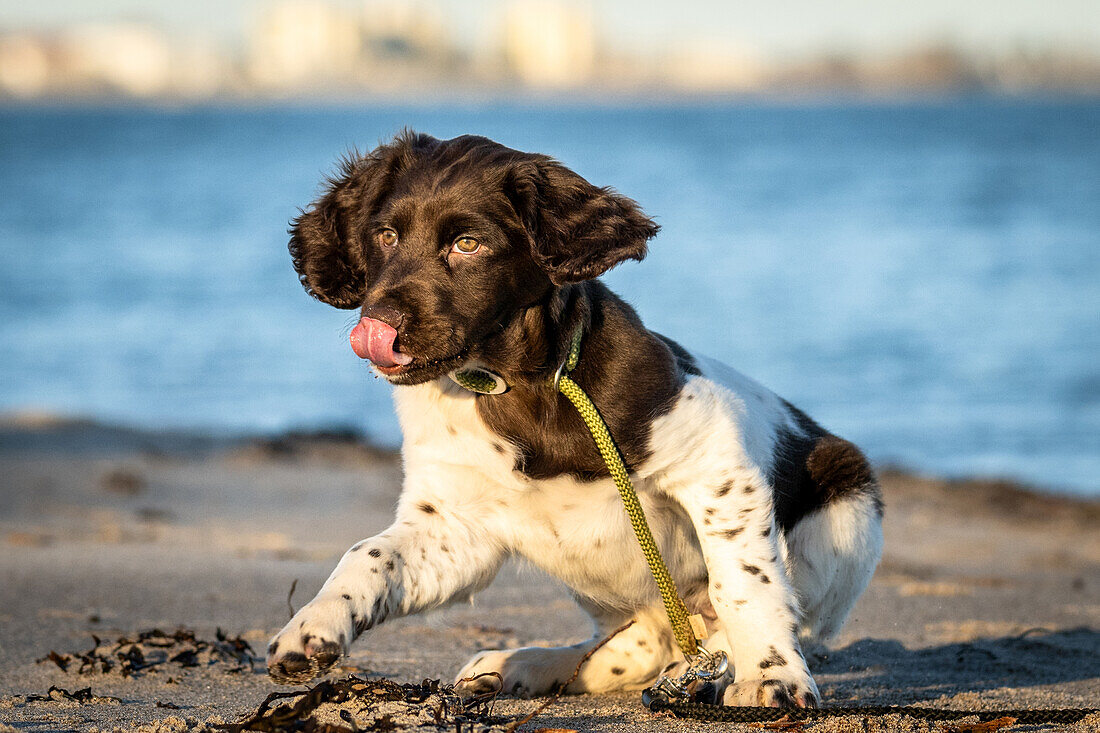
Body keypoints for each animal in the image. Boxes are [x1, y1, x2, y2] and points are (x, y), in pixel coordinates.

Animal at [268, 131, 884, 708]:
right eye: (385, 236)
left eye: (468, 244)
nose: (376, 325)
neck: (514, 383)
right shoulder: (455, 524)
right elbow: (370, 553)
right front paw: (312, 625)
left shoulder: (716, 460)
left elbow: (743, 582)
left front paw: (770, 675)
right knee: (648, 643)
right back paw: (528, 664)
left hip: (847, 501)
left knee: (743, 623)